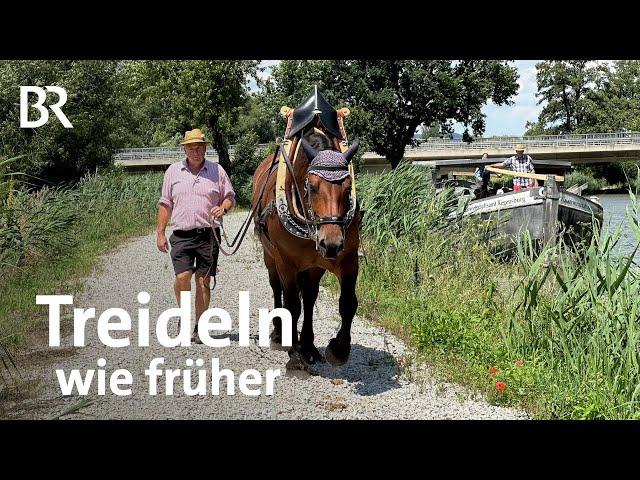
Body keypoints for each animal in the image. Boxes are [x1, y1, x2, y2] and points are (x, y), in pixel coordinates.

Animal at [251, 129, 360, 374]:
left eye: (348, 188)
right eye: (312, 187)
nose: (332, 242)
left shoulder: (344, 259)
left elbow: (347, 302)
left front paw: (337, 349)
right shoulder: (285, 262)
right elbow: (292, 305)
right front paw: (295, 357)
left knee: (309, 297)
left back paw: (308, 345)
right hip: (269, 255)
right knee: (276, 288)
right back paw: (280, 334)